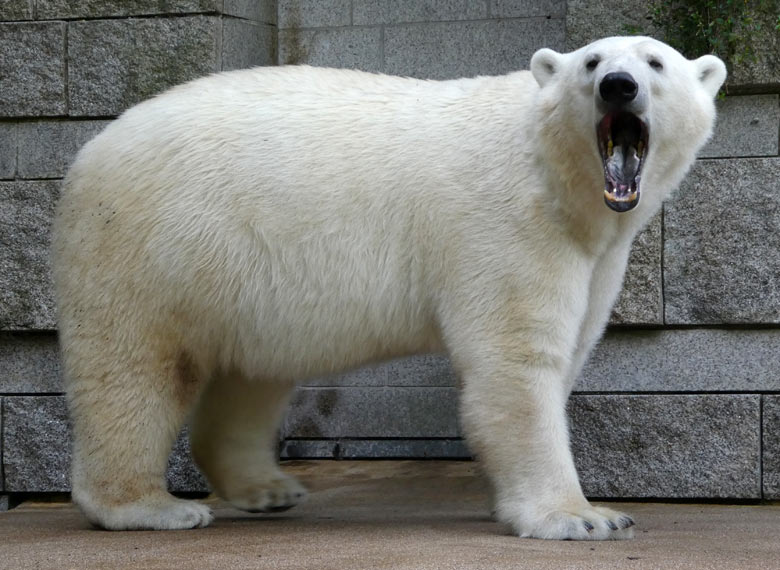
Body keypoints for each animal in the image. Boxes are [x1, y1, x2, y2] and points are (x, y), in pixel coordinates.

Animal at [51, 36, 728, 536]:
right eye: (592, 62)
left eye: (655, 62)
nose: (619, 85)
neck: (558, 173)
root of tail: (90, 149)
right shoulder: (508, 223)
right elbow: (515, 361)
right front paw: (581, 517)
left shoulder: (597, 251)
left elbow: (568, 348)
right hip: (153, 241)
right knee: (136, 368)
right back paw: (147, 507)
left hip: (241, 272)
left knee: (251, 373)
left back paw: (266, 488)